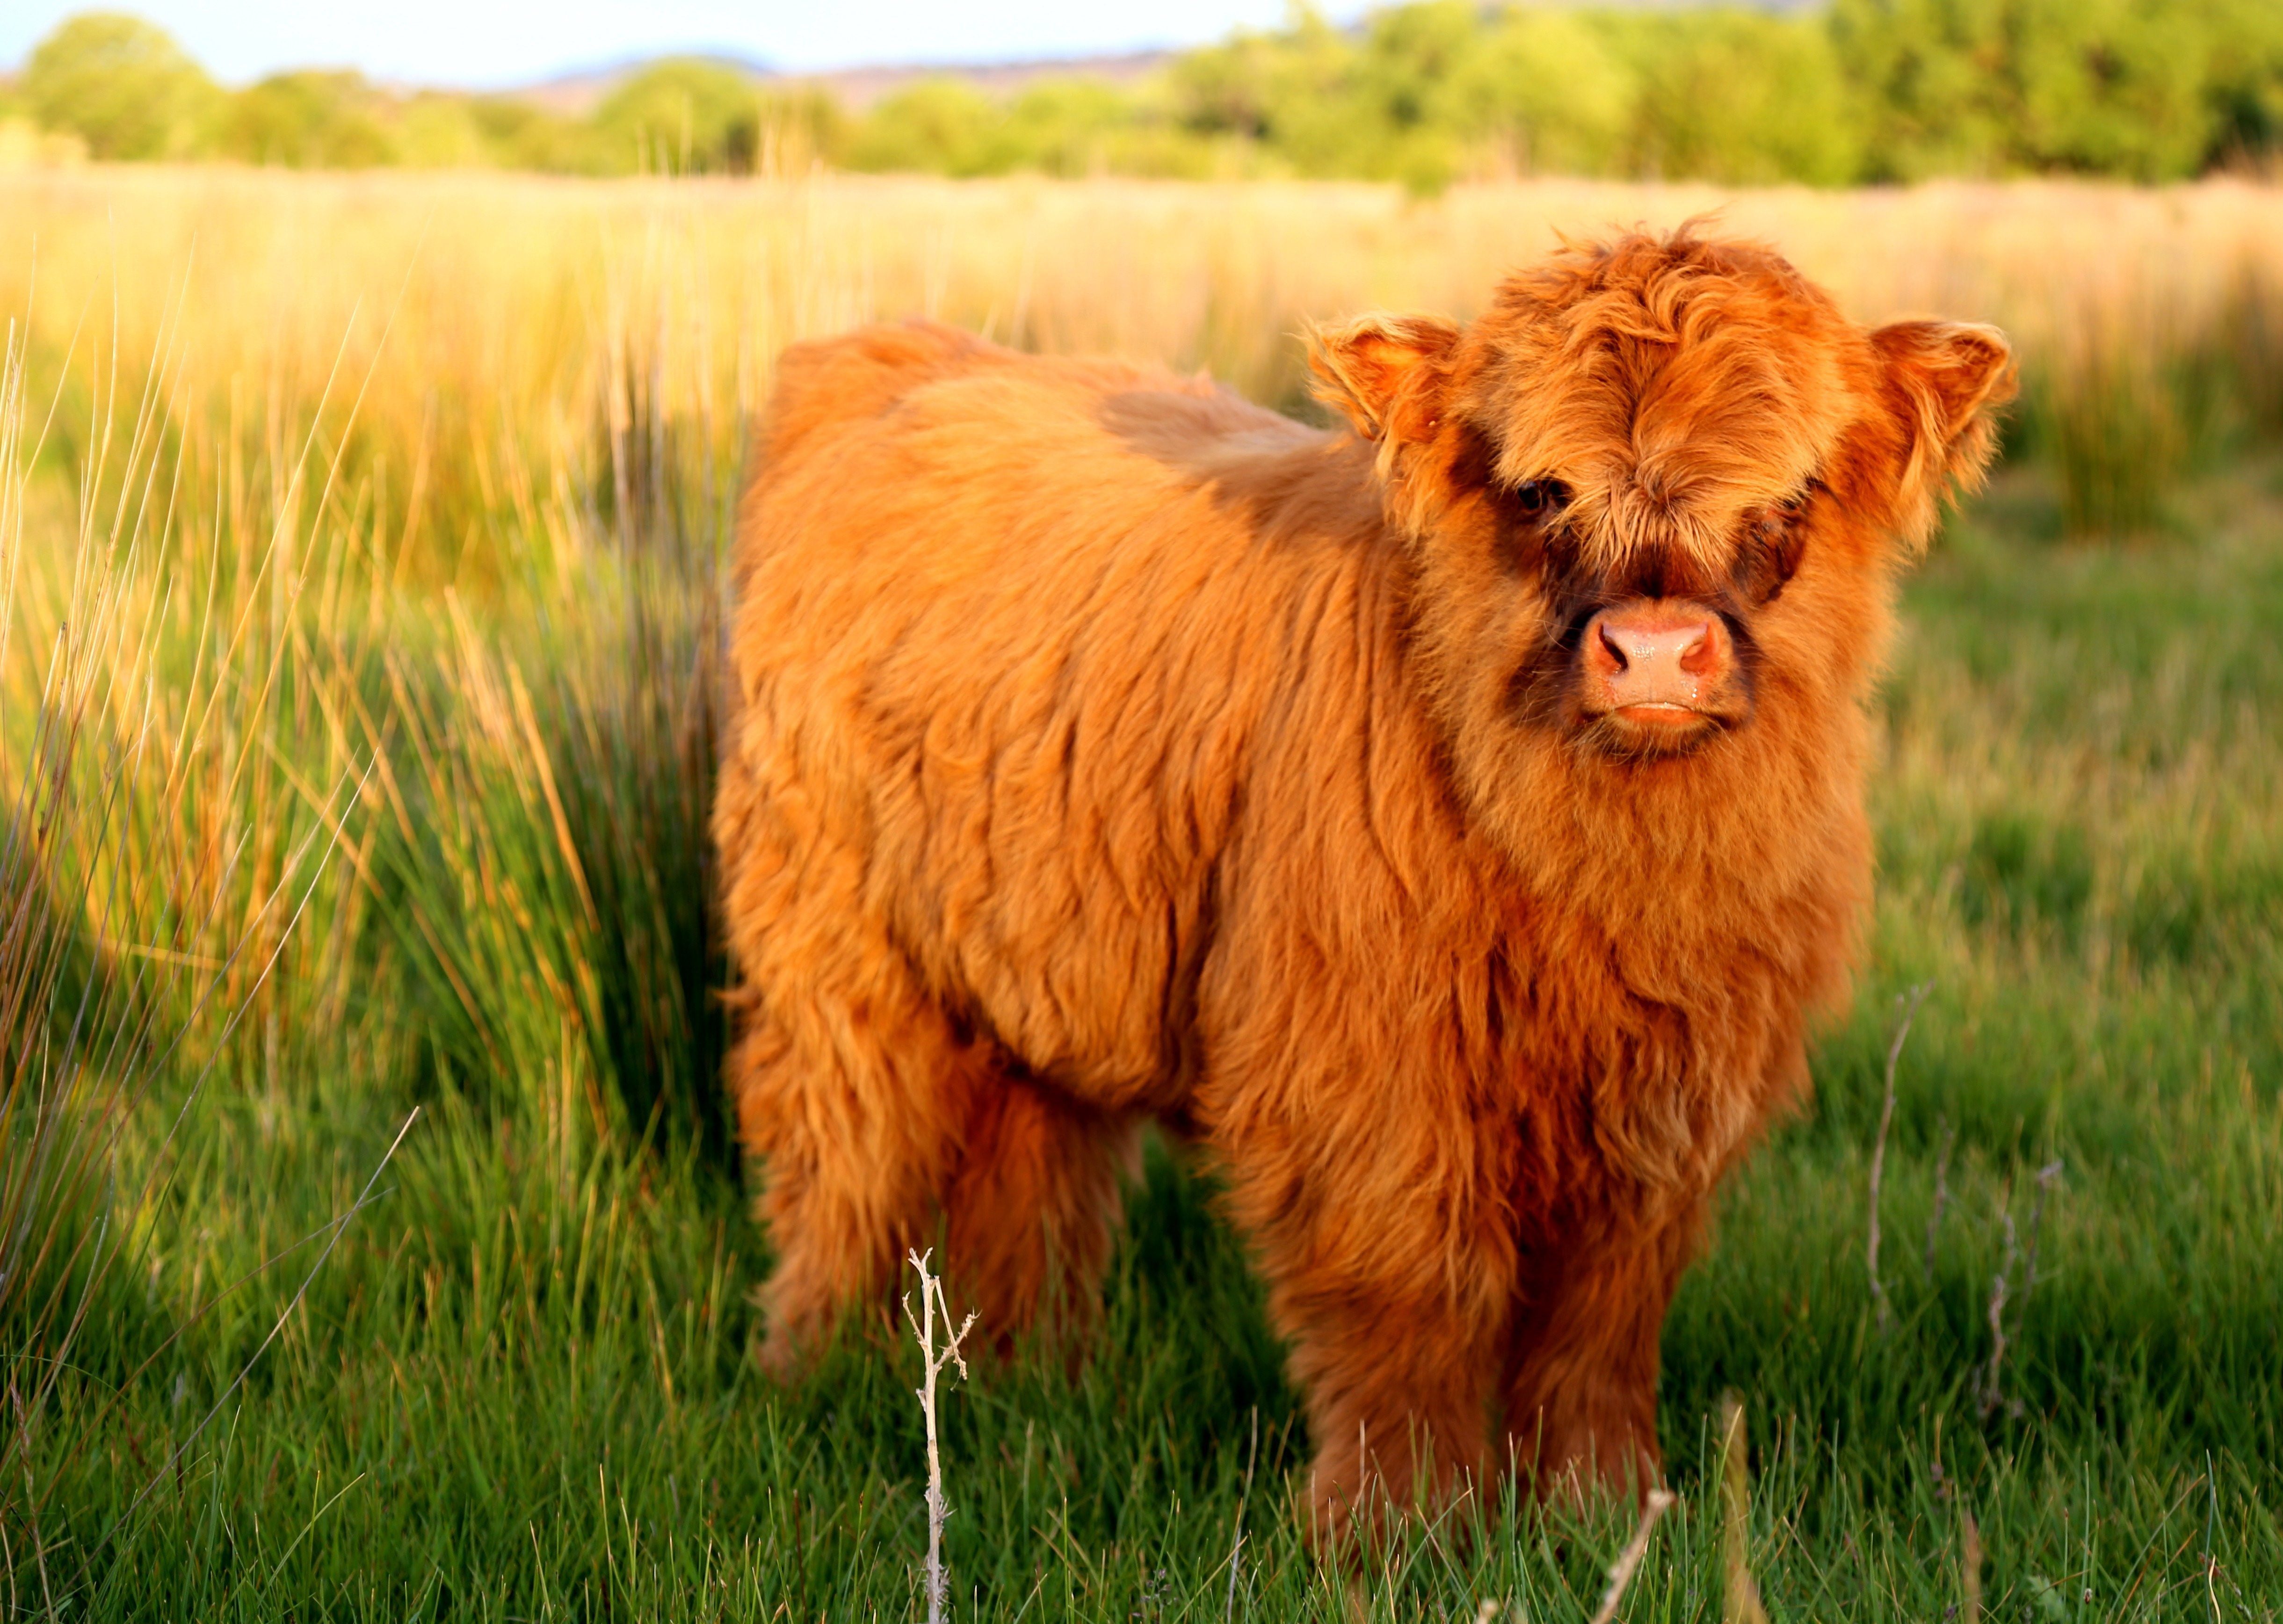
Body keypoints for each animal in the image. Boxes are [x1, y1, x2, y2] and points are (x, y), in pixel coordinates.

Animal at [717, 232, 2018, 1535]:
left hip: (1036, 946)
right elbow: (1409, 1291)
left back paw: (1027, 1375)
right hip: (829, 931)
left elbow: (1602, 1316)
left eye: (1788, 494)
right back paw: (811, 1372)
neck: (1602, 869)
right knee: (845, 1150)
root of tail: (899, 352)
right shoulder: (1360, 1069)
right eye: (1541, 490)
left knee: (1029, 1163)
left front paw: (1600, 1510)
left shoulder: (1672, 1094)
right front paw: (1403, 1526)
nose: (1653, 656)